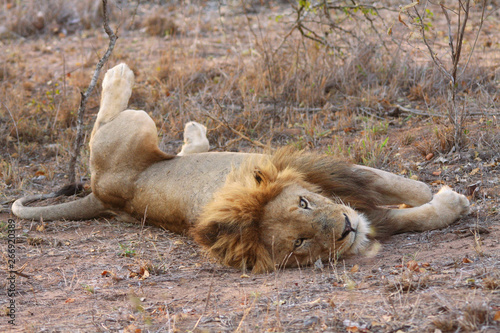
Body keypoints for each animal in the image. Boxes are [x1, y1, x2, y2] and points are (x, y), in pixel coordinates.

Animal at [12, 63, 472, 272]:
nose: (345, 228)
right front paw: (451, 201)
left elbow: (399, 187)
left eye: (305, 202)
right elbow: (416, 213)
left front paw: (435, 193)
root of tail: (100, 196)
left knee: (177, 149)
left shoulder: (335, 174)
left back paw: (193, 131)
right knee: (103, 122)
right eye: (300, 243)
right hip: (134, 127)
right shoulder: (360, 203)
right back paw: (117, 75)